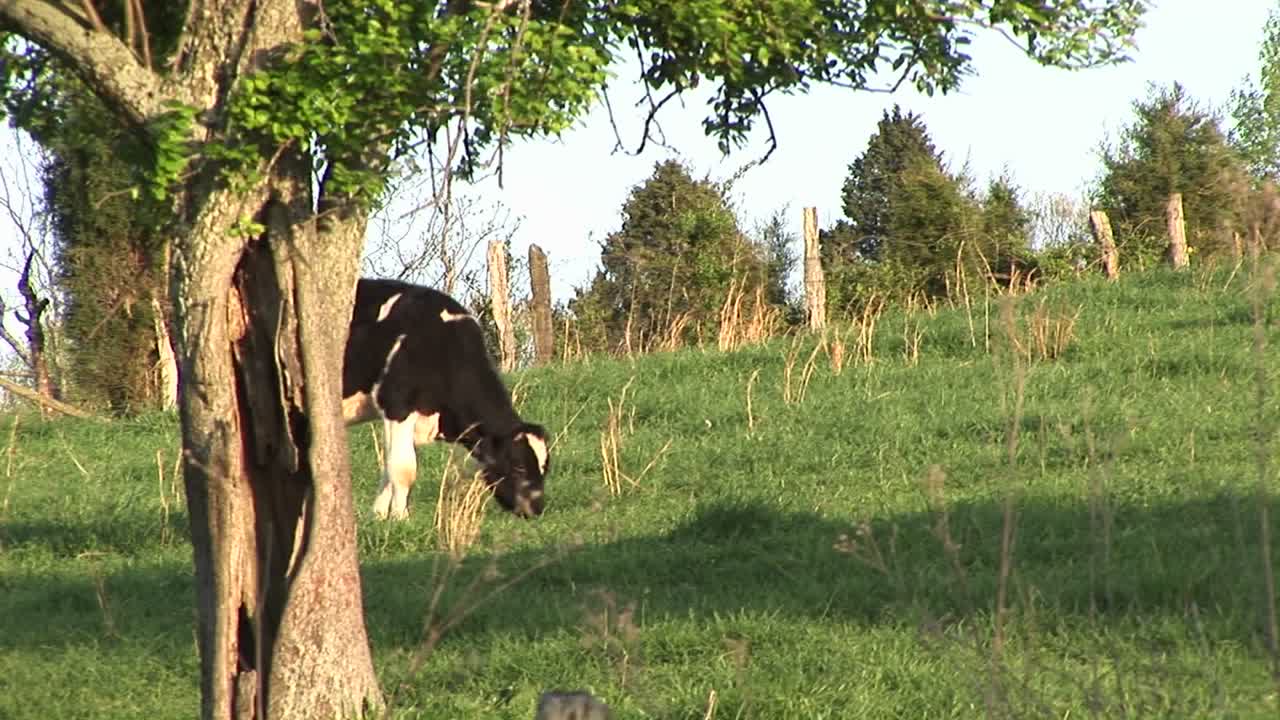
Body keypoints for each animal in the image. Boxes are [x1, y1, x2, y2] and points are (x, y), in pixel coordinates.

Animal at [341, 278, 549, 519]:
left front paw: (379, 516)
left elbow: (388, 465)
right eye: (519, 466)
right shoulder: (398, 404)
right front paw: (400, 518)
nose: (536, 509)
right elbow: (403, 468)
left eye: (545, 468)